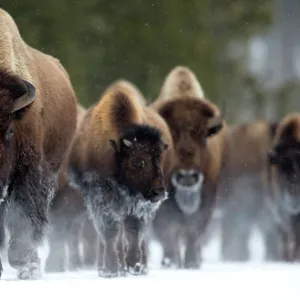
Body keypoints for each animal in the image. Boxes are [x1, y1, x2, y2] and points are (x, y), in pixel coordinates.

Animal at [68, 79, 173, 276]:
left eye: (160, 158)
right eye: (138, 162)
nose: (159, 193)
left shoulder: (137, 205)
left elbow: (133, 232)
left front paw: (134, 266)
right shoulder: (100, 197)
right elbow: (110, 232)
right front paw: (111, 270)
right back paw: (105, 267)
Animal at [150, 67, 227, 268]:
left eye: (204, 136)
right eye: (169, 137)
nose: (187, 176)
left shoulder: (207, 199)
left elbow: (194, 230)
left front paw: (192, 262)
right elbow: (168, 232)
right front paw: (171, 262)